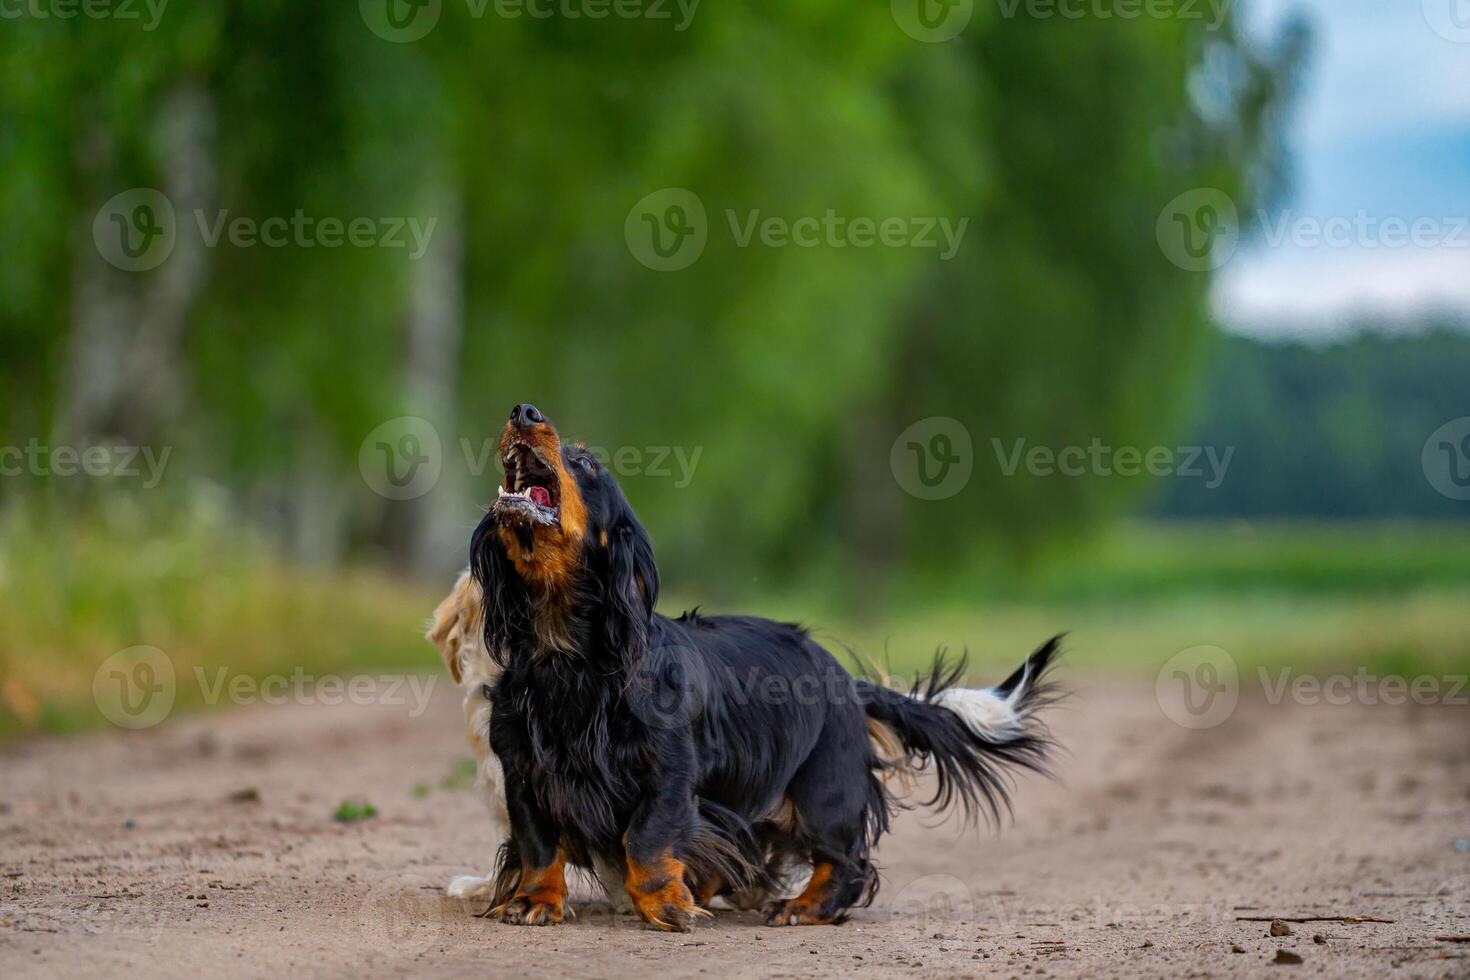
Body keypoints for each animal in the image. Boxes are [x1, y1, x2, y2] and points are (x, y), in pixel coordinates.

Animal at [476, 402, 1064, 934]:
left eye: (585, 462)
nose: (523, 411)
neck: (564, 655)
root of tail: (846, 680)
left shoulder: (670, 772)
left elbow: (646, 839)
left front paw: (666, 905)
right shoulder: (524, 772)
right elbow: (538, 844)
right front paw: (535, 900)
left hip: (824, 792)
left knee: (846, 862)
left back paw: (802, 907)